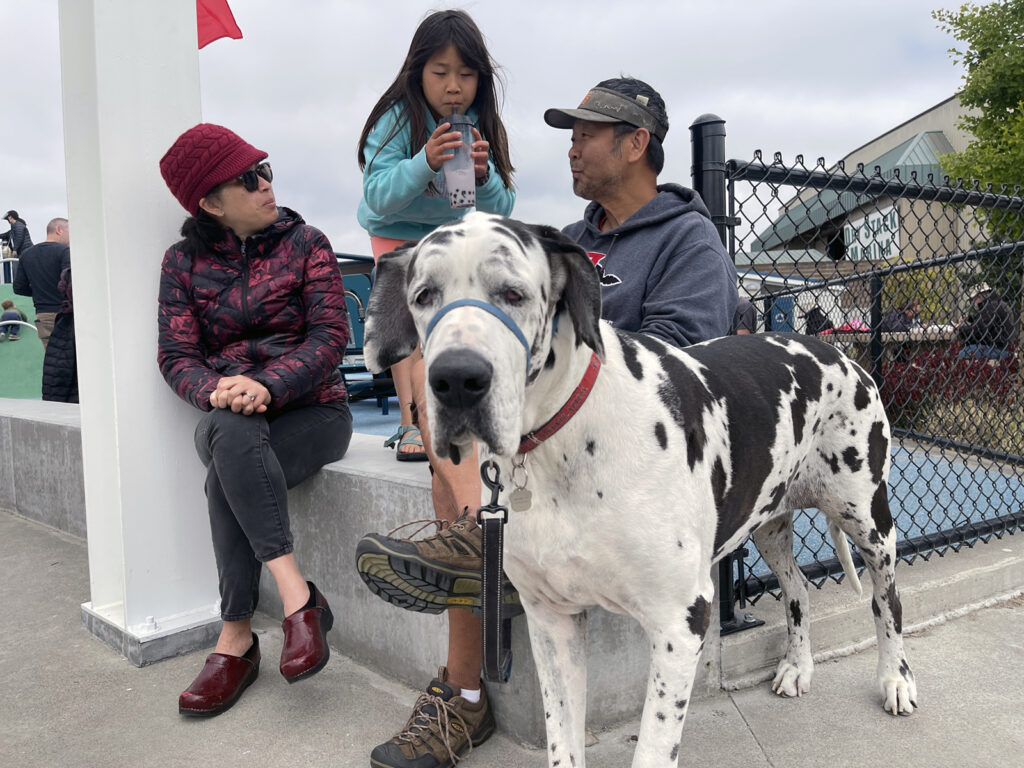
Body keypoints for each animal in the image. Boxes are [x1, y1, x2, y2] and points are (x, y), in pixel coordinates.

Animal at [362, 210, 921, 768]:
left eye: (513, 293)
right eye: (423, 295)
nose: (456, 378)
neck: (562, 442)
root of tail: (837, 351)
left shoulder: (680, 622)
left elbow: (653, 749)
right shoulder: (552, 621)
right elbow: (563, 742)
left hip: (869, 521)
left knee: (887, 603)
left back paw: (895, 680)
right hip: (768, 525)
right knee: (799, 589)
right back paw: (798, 667)